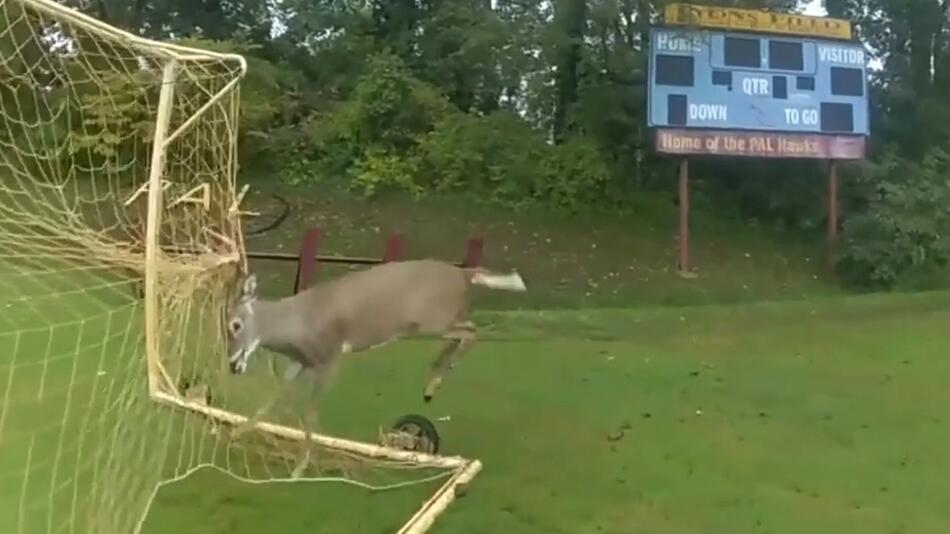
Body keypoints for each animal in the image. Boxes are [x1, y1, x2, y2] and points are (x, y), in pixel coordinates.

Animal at [225, 258, 528, 450]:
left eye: (235, 325)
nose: (231, 363)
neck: (296, 325)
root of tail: (464, 275)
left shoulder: (330, 357)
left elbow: (310, 415)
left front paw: (300, 469)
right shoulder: (300, 362)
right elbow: (272, 399)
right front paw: (236, 432)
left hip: (433, 320)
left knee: (472, 332)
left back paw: (432, 384)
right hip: (432, 323)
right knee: (467, 334)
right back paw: (432, 384)